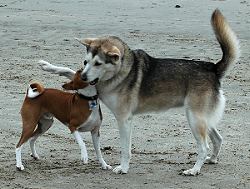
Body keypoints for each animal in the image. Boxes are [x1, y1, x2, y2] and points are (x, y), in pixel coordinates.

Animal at [38, 9, 238, 176]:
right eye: (86, 62)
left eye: (98, 63)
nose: (85, 76)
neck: (120, 72)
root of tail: (212, 68)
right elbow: (67, 71)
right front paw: (48, 66)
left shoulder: (124, 120)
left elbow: (124, 149)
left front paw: (123, 168)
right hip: (202, 119)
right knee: (218, 139)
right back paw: (211, 160)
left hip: (195, 120)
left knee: (203, 147)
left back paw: (194, 169)